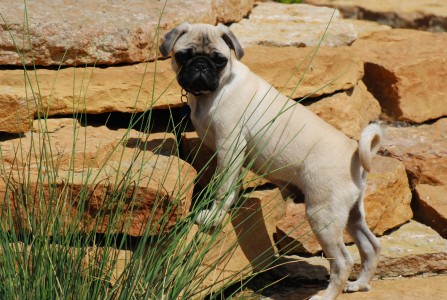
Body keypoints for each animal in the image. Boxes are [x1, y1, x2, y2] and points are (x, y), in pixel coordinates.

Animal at [160, 22, 382, 298]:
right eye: (184, 55)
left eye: (219, 60)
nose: (200, 65)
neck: (213, 92)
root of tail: (353, 152)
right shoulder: (233, 154)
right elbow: (231, 184)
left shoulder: (229, 145)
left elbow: (222, 187)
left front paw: (214, 216)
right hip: (351, 214)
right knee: (371, 246)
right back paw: (360, 284)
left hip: (323, 215)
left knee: (343, 261)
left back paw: (327, 294)